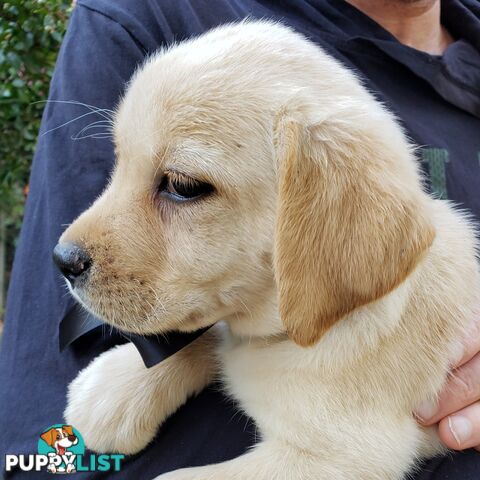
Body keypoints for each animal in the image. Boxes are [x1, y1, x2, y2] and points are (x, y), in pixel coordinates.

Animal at [61, 20, 480, 478]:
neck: (291, 335)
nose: (62, 261)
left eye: (183, 186)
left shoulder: (340, 456)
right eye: (119, 162)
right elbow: (207, 336)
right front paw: (115, 388)